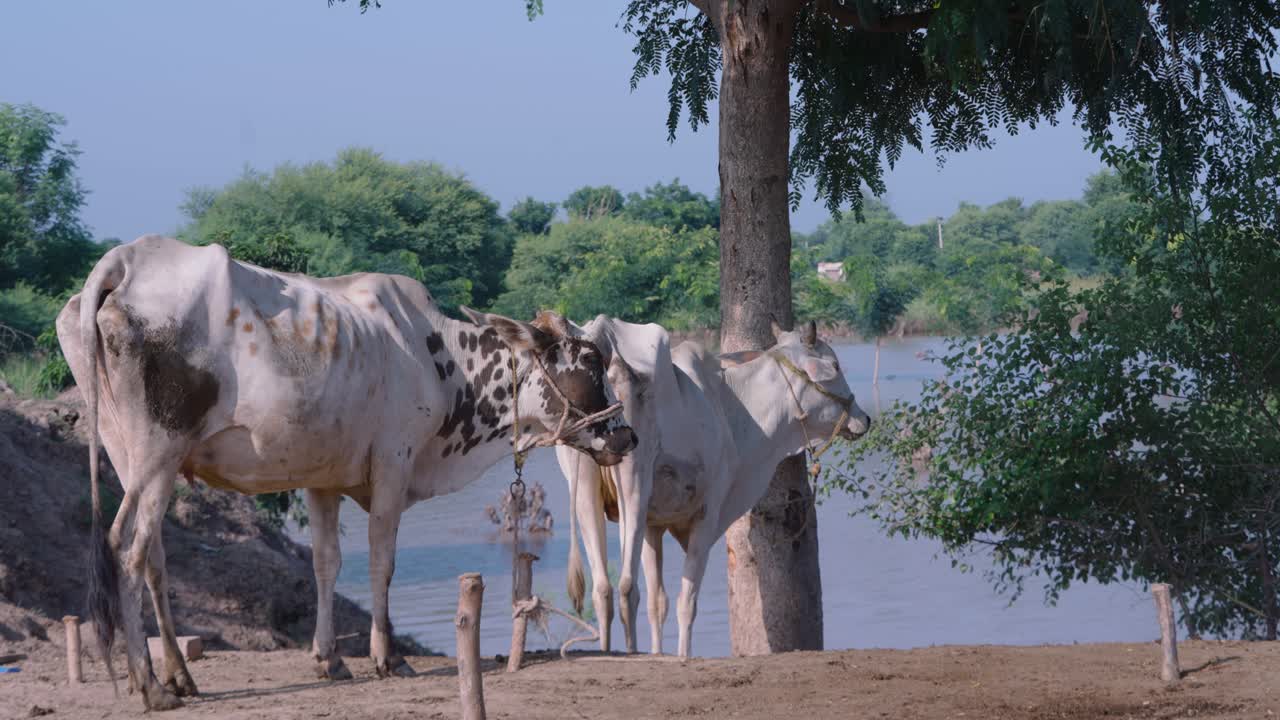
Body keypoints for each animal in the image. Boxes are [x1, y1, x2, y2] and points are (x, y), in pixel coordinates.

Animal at [55, 235, 637, 711]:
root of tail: (124, 260)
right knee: (126, 547)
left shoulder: (322, 477)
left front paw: (329, 659)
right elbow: (382, 561)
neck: (441, 358)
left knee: (153, 555)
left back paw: (178, 675)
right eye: (590, 361)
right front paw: (387, 657)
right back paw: (150, 686)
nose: (626, 436)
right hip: (159, 450)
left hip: (128, 455)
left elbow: (327, 565)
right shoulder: (393, 464)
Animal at [553, 314, 869, 658]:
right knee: (626, 587)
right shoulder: (707, 514)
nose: (864, 419)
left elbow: (658, 603)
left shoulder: (654, 524)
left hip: (584, 492)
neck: (733, 410)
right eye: (835, 366)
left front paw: (658, 653)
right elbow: (686, 602)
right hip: (632, 484)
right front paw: (681, 656)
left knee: (603, 589)